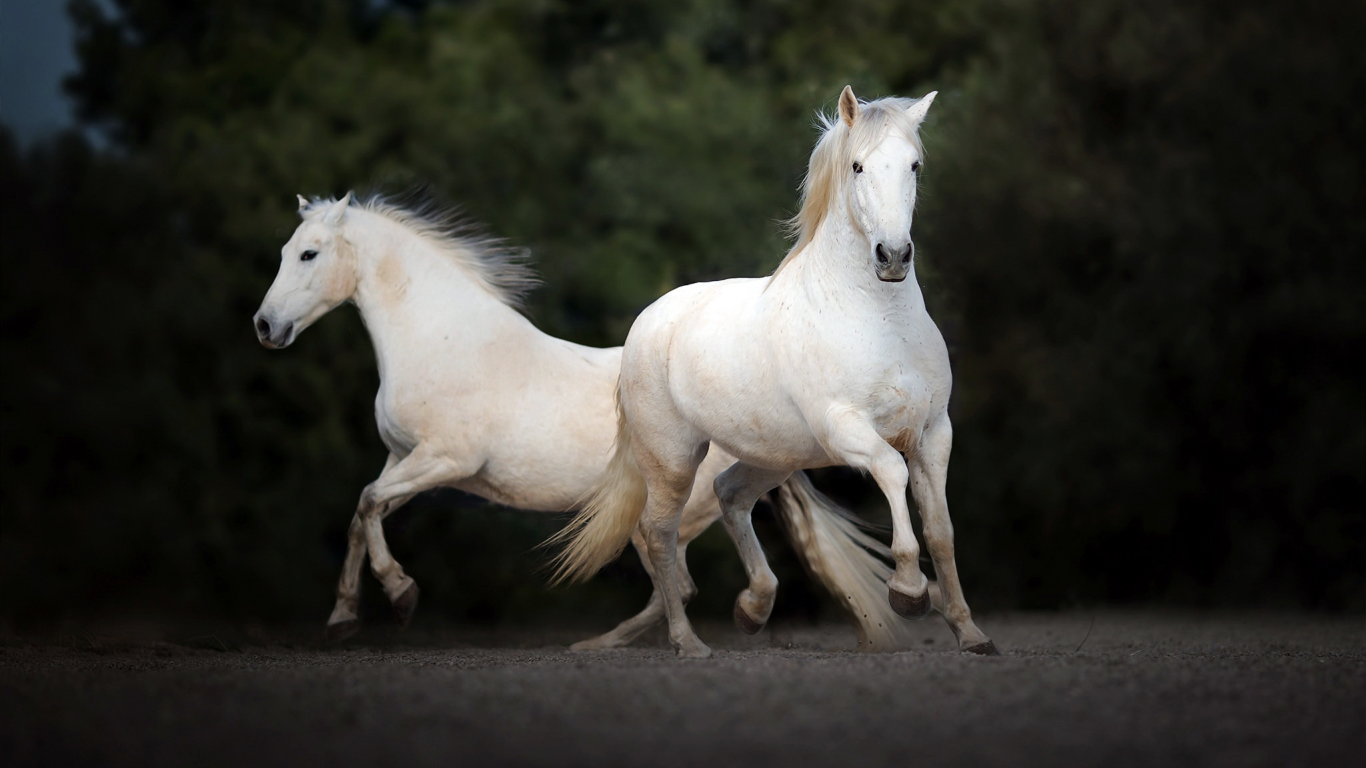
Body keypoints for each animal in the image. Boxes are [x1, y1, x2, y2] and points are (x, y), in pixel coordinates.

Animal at [256, 189, 917, 645]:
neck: (444, 340)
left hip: (669, 511)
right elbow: (359, 515)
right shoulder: (403, 458)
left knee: (677, 584)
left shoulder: (444, 460)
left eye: (309, 254)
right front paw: (343, 618)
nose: (265, 326)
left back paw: (604, 646)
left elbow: (367, 503)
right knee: (675, 586)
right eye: (286, 250)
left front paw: (401, 595)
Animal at [549, 86, 999, 655]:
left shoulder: (934, 432)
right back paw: (688, 642)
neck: (881, 322)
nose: (893, 256)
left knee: (730, 495)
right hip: (673, 460)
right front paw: (909, 592)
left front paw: (970, 632)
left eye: (915, 165)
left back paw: (754, 607)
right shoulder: (848, 429)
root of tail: (647, 324)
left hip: (775, 456)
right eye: (857, 166)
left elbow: (941, 529)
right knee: (659, 534)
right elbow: (892, 474)